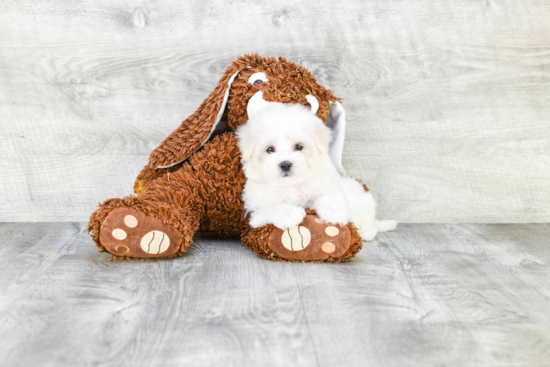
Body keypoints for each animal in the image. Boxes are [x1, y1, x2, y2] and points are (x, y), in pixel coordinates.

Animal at [235, 104, 398, 242]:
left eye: (298, 146)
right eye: (270, 149)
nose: (285, 164)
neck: (292, 184)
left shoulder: (326, 185)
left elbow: (329, 197)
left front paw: (334, 213)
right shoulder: (256, 213)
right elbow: (273, 206)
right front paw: (289, 214)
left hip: (361, 203)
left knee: (369, 222)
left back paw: (365, 232)